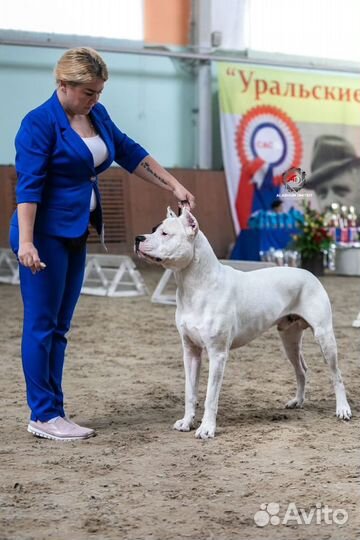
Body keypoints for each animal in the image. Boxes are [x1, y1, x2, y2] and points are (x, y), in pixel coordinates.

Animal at [135, 207, 352, 438]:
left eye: (165, 233)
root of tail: (309, 274)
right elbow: (190, 392)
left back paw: (343, 409)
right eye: (153, 229)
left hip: (324, 336)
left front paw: (207, 428)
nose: (138, 238)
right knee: (301, 369)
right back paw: (298, 401)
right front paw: (186, 422)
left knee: (336, 375)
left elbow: (210, 396)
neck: (196, 285)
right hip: (289, 339)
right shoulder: (190, 352)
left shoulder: (218, 354)